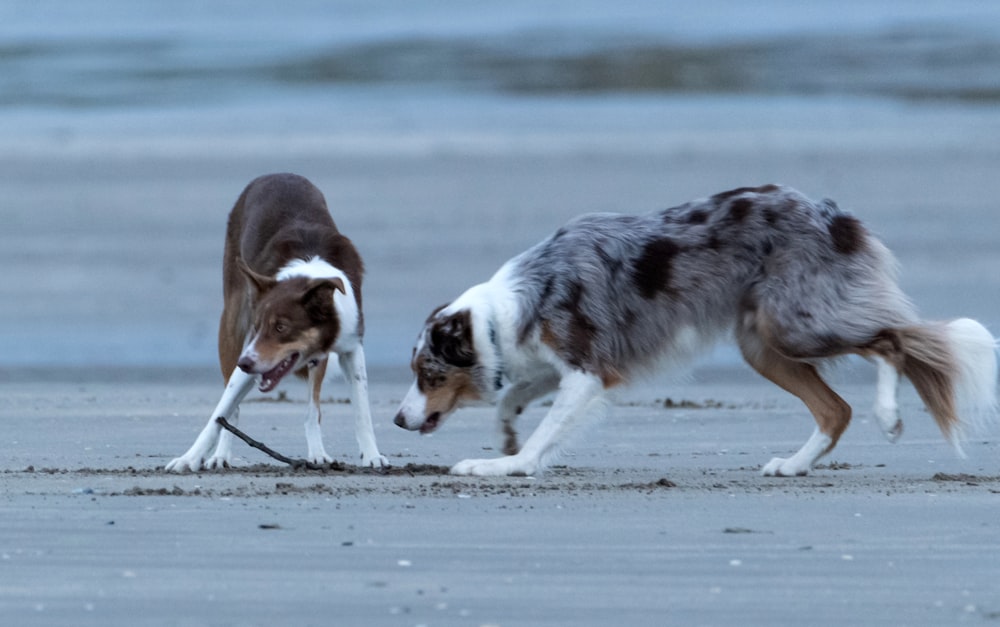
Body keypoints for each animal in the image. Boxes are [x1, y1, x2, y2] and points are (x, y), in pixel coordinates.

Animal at [164, 174, 386, 474]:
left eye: (281, 327)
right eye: (259, 326)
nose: (245, 363)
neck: (309, 273)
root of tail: (278, 174)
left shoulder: (350, 346)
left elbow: (359, 410)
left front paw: (372, 455)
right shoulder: (250, 349)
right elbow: (219, 414)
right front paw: (189, 458)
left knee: (313, 407)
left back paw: (317, 453)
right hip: (231, 324)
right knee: (231, 410)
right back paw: (221, 455)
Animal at [394, 185, 996, 476]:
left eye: (429, 373)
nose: (398, 420)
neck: (505, 312)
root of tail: (833, 213)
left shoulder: (589, 370)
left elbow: (547, 430)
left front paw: (506, 465)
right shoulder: (560, 364)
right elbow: (512, 398)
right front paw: (506, 436)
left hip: (796, 323)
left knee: (891, 340)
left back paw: (889, 415)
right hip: (761, 345)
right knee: (836, 409)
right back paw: (795, 465)